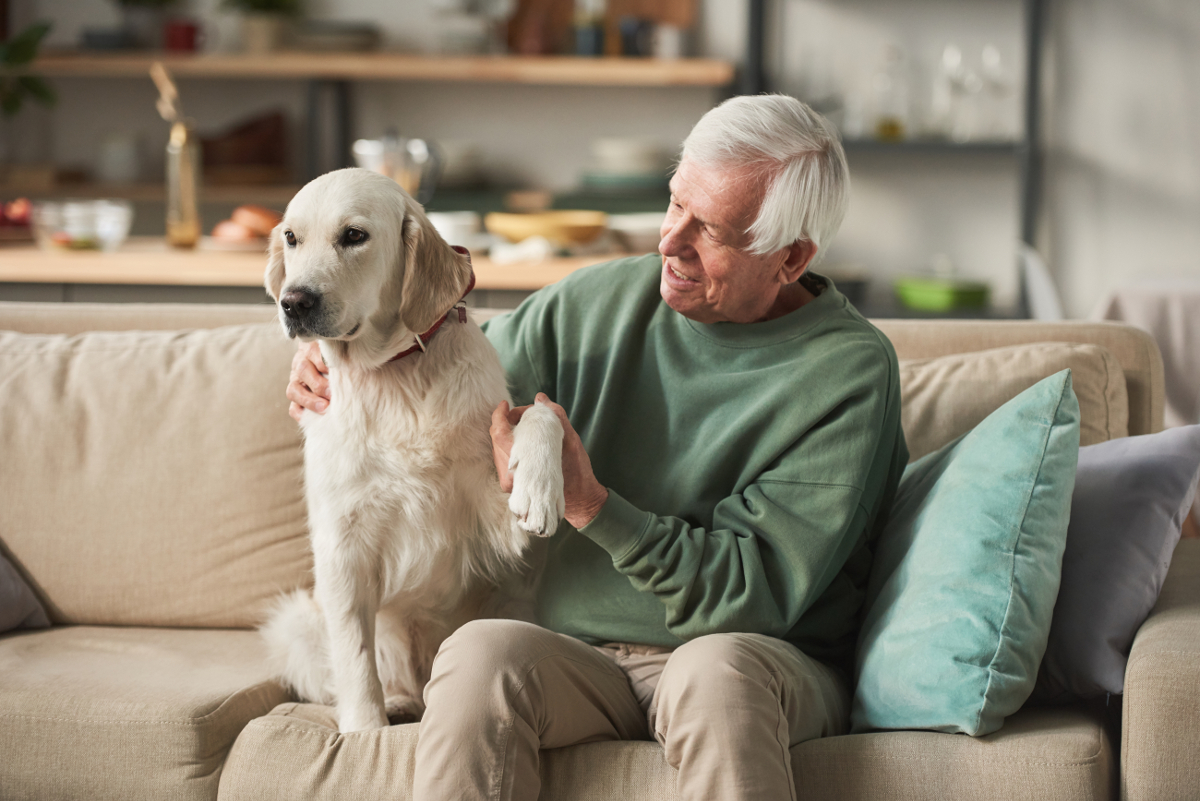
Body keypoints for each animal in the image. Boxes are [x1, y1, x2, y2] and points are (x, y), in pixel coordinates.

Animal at [259, 167, 566, 733]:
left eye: (353, 235)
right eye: (291, 237)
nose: (293, 301)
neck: (394, 378)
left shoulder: (499, 523)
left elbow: (541, 413)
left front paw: (539, 488)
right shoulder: (342, 548)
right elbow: (356, 660)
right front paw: (364, 732)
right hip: (294, 621)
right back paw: (400, 703)